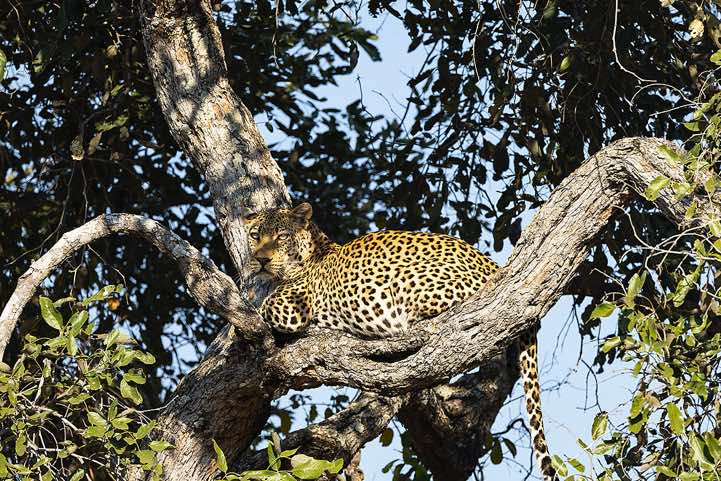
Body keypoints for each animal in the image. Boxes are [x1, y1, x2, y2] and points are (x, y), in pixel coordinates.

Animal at [243, 202, 556, 481]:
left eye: (282, 236)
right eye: (255, 235)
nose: (261, 259)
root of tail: (493, 265)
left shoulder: (291, 306)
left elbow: (259, 309)